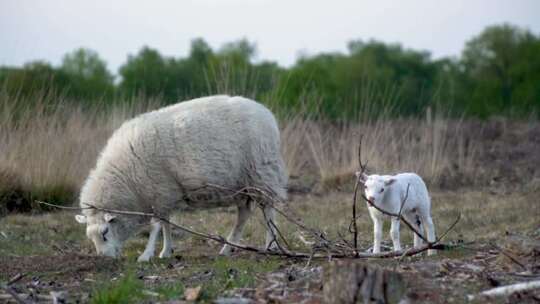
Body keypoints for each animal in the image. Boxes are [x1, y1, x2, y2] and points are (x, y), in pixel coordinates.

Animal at [75, 95, 292, 262]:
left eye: (105, 233)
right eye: (90, 237)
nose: (104, 259)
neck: (126, 180)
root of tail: (267, 114)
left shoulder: (159, 191)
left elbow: (156, 226)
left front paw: (146, 255)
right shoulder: (164, 195)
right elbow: (166, 225)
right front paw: (166, 251)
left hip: (262, 172)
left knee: (268, 210)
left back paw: (270, 245)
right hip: (241, 184)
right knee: (244, 214)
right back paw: (227, 249)